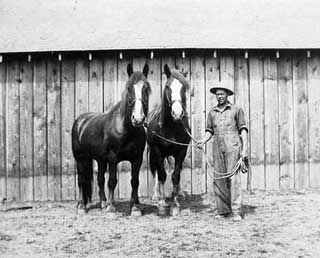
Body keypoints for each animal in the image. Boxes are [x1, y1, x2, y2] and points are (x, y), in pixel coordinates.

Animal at [72, 63, 151, 215]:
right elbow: (113, 181)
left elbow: (135, 181)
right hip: (80, 159)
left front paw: (135, 207)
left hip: (100, 160)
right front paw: (111, 207)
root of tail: (80, 121)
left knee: (100, 179)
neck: (126, 129)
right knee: (81, 180)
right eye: (129, 88)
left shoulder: (137, 159)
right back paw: (81, 206)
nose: (138, 119)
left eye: (146, 89)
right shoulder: (113, 158)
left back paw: (103, 203)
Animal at [147, 64, 190, 214]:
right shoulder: (157, 151)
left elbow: (175, 175)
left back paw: (178, 193)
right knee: (155, 171)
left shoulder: (181, 151)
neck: (171, 127)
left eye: (184, 88)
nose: (177, 113)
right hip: (152, 154)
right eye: (167, 86)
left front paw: (175, 204)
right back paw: (157, 195)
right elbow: (161, 174)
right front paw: (161, 203)